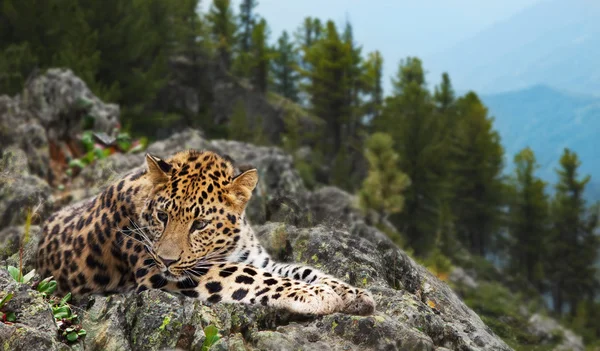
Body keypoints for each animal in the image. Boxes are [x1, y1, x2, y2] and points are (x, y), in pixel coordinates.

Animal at [35, 149, 376, 316]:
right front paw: (316, 295)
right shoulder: (160, 273)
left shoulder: (259, 259)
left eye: (200, 224)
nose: (167, 260)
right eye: (162, 216)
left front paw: (351, 293)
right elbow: (253, 277)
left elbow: (301, 269)